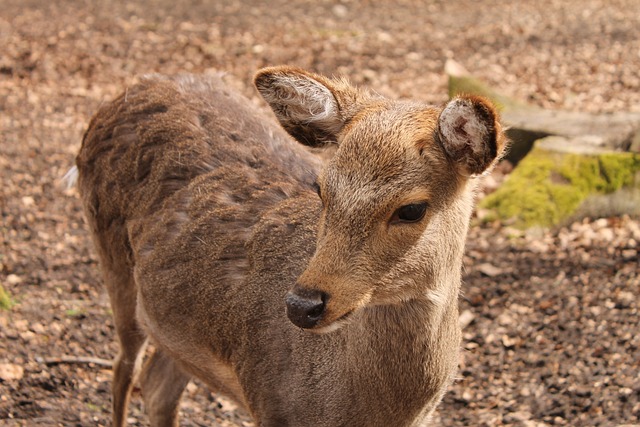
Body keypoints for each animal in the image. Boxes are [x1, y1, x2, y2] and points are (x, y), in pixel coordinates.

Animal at [71, 67, 504, 427]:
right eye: (321, 188)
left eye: (412, 209)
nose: (301, 305)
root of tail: (133, 88)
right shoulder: (269, 404)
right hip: (111, 260)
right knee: (123, 370)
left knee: (156, 384)